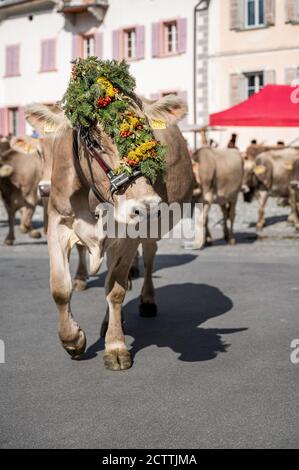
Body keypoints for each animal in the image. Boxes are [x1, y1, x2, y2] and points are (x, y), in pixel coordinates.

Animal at [26, 95, 195, 372]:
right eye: (94, 142)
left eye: (149, 135)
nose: (147, 205)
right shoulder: (58, 223)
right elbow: (60, 288)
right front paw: (72, 340)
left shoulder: (129, 236)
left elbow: (115, 290)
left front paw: (115, 347)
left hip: (151, 230)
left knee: (148, 258)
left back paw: (146, 302)